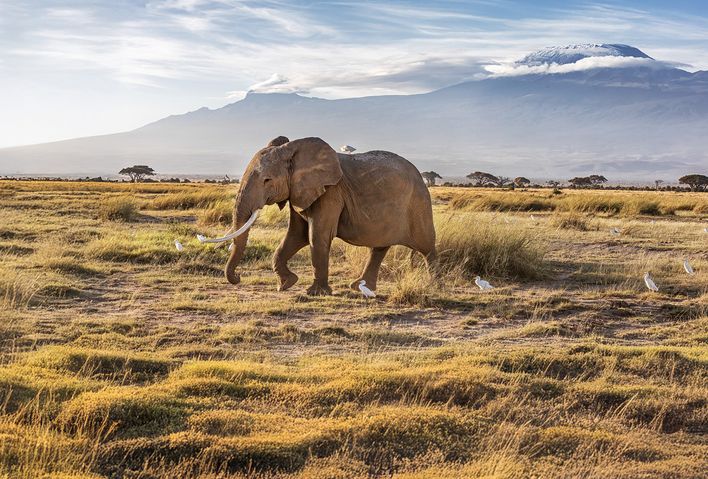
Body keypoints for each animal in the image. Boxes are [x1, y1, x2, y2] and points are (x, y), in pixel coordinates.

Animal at [221, 136, 436, 295]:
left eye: (267, 180)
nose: (238, 278)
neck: (292, 150)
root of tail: (420, 175)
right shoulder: (299, 192)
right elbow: (295, 235)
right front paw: (286, 284)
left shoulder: (331, 192)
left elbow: (317, 236)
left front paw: (315, 293)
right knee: (380, 247)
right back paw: (359, 287)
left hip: (418, 203)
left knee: (426, 246)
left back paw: (433, 285)